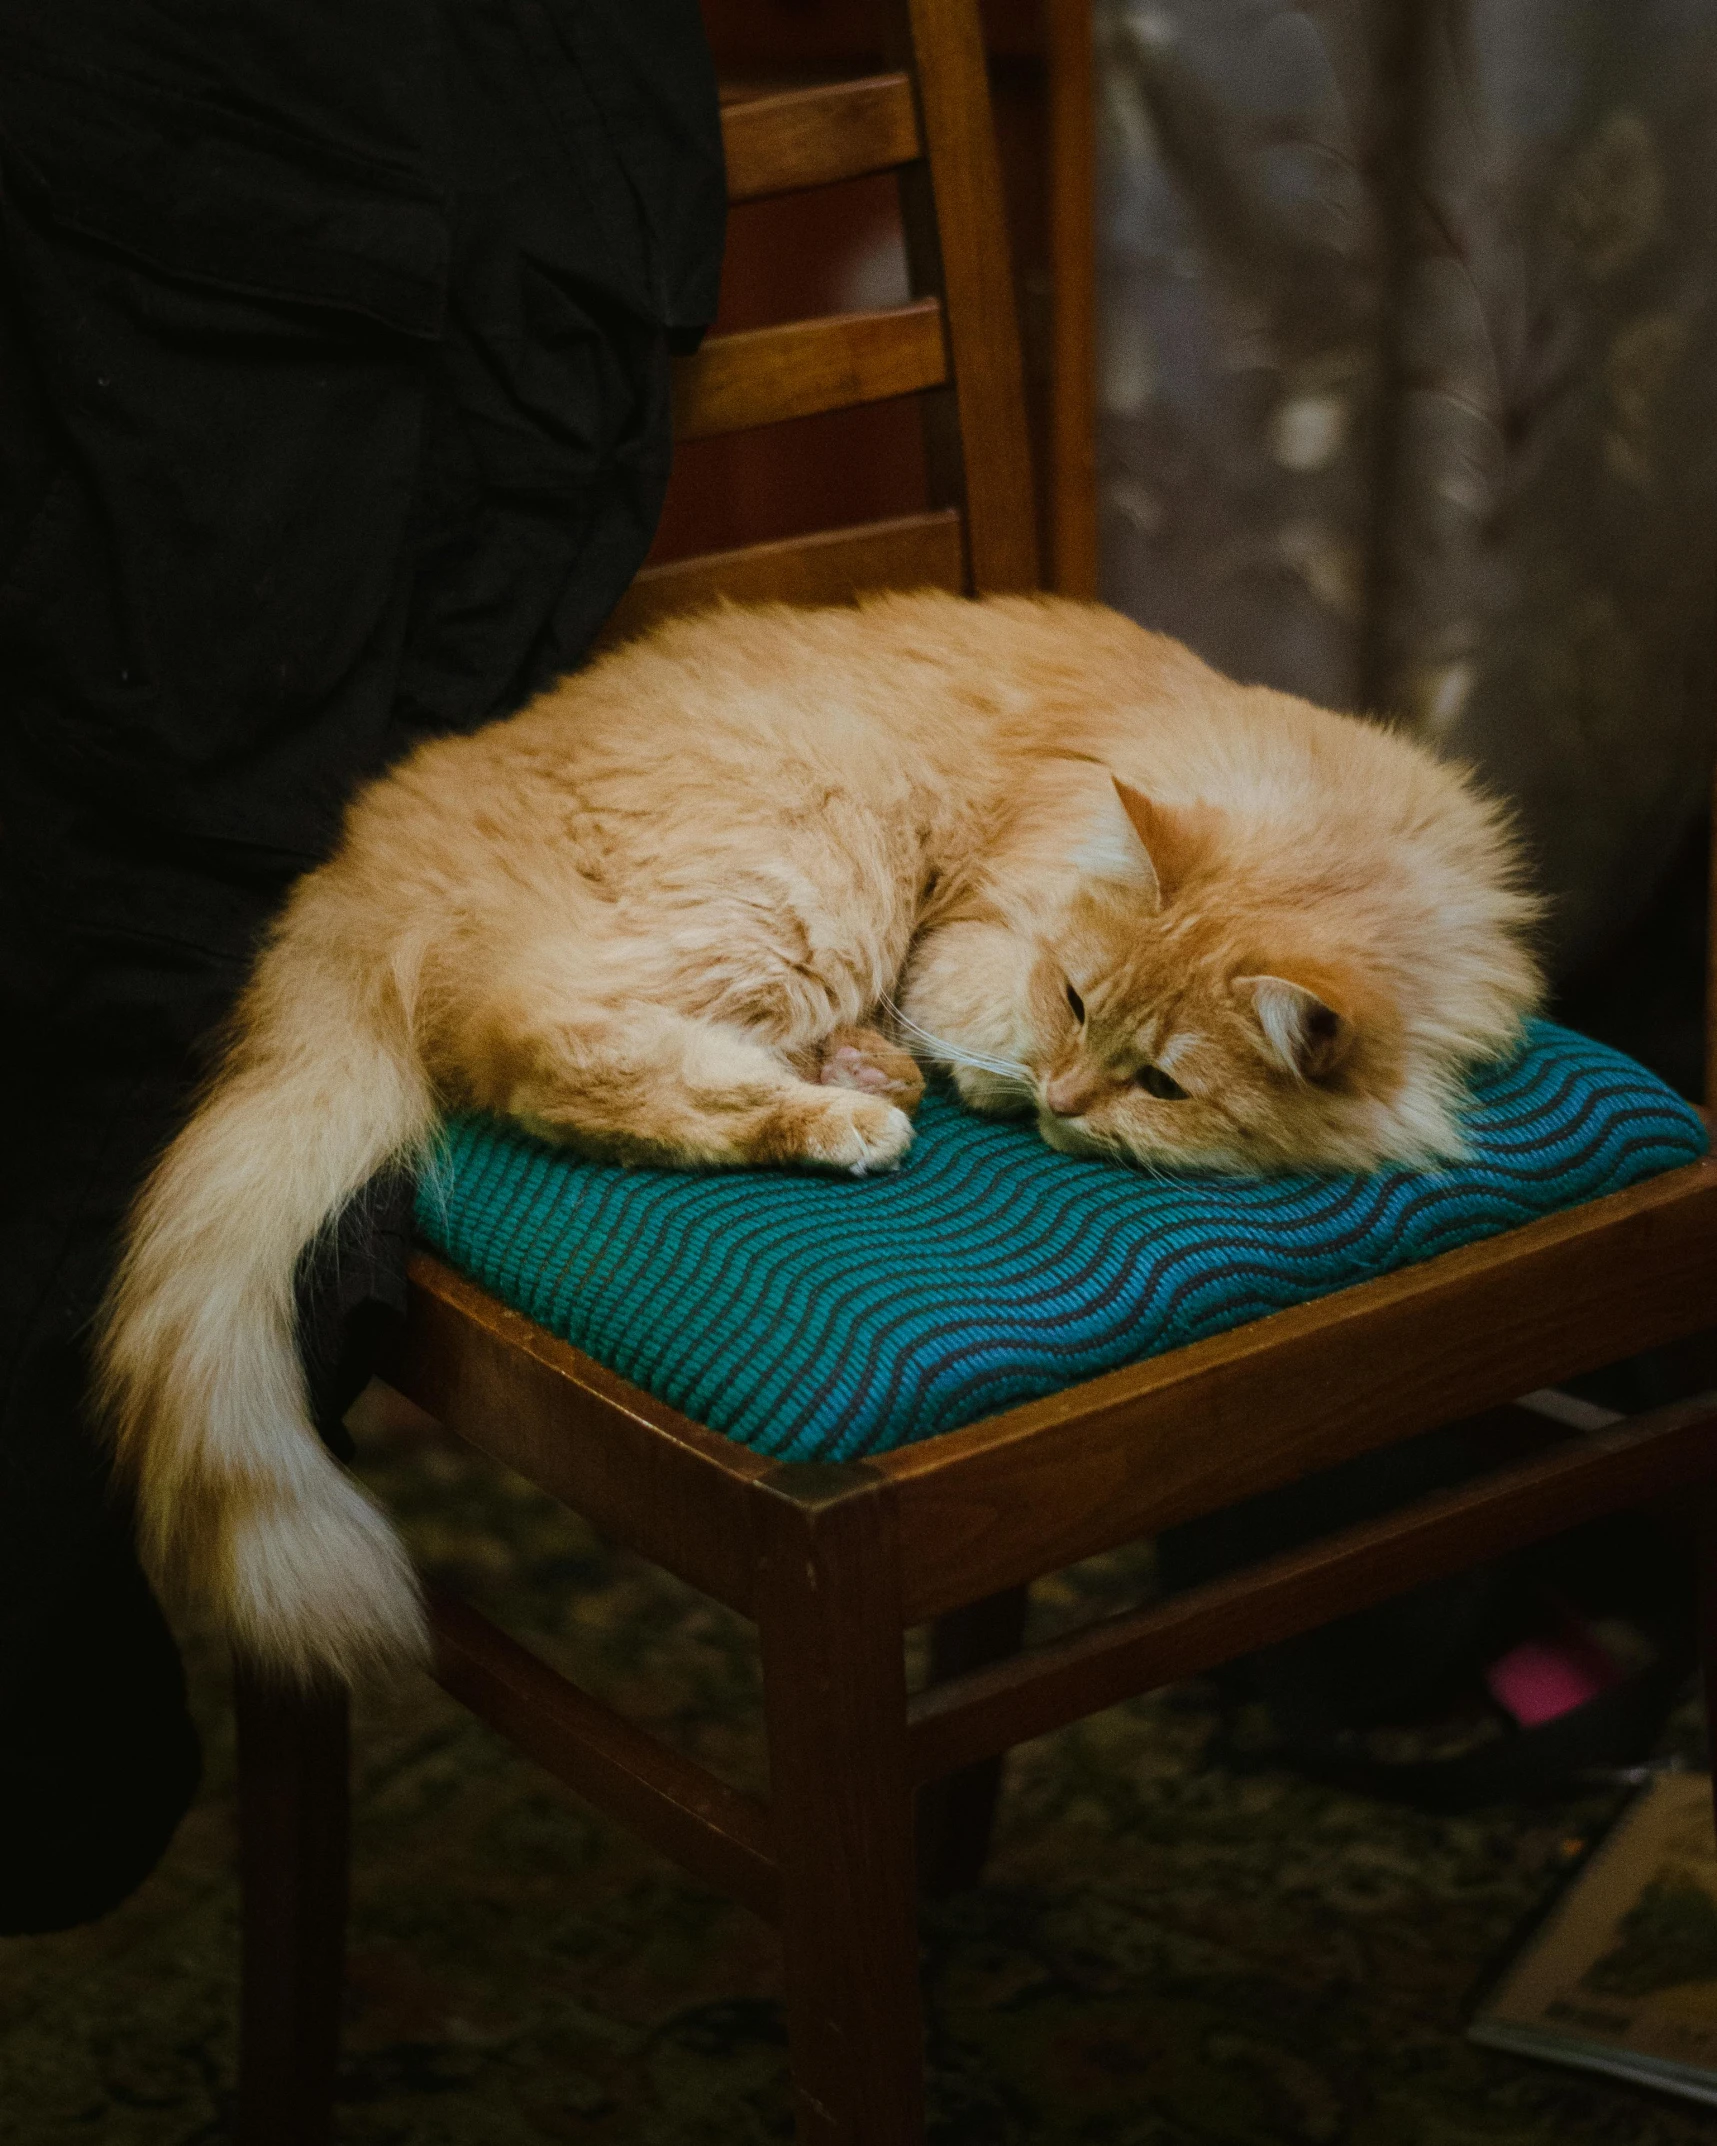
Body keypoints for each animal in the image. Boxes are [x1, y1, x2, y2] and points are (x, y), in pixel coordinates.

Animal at [93, 592, 1545, 1673]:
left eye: (1165, 1085)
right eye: (1080, 1003)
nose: (1073, 1103)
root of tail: (376, 843)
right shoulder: (974, 941)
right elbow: (980, 1024)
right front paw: (986, 1083)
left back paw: (860, 1069)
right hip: (810, 868)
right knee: (548, 1044)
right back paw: (848, 1112)